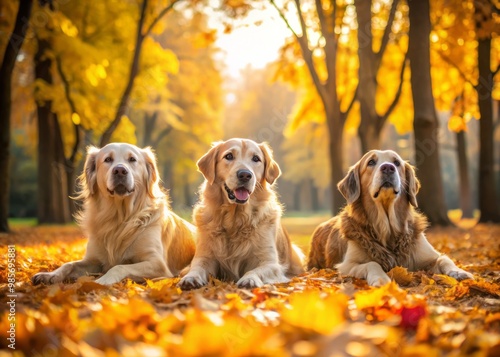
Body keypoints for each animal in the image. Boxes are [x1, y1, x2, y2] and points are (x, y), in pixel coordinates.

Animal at [32, 143, 196, 286]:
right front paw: (49, 275)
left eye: (132, 159)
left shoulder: (157, 263)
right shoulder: (93, 260)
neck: (119, 217)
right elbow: (68, 264)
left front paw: (101, 281)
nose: (120, 171)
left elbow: (118, 266)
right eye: (108, 159)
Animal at [178, 138, 306, 288]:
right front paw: (190, 277)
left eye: (256, 158)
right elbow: (197, 267)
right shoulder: (205, 255)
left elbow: (256, 270)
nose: (245, 175)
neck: (236, 219)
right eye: (229, 156)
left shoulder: (270, 262)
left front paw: (249, 279)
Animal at [306, 149, 474, 286]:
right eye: (371, 162)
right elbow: (372, 263)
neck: (388, 228)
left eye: (397, 162)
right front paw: (381, 279)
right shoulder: (346, 265)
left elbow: (445, 258)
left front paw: (459, 272)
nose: (388, 167)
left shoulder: (428, 255)